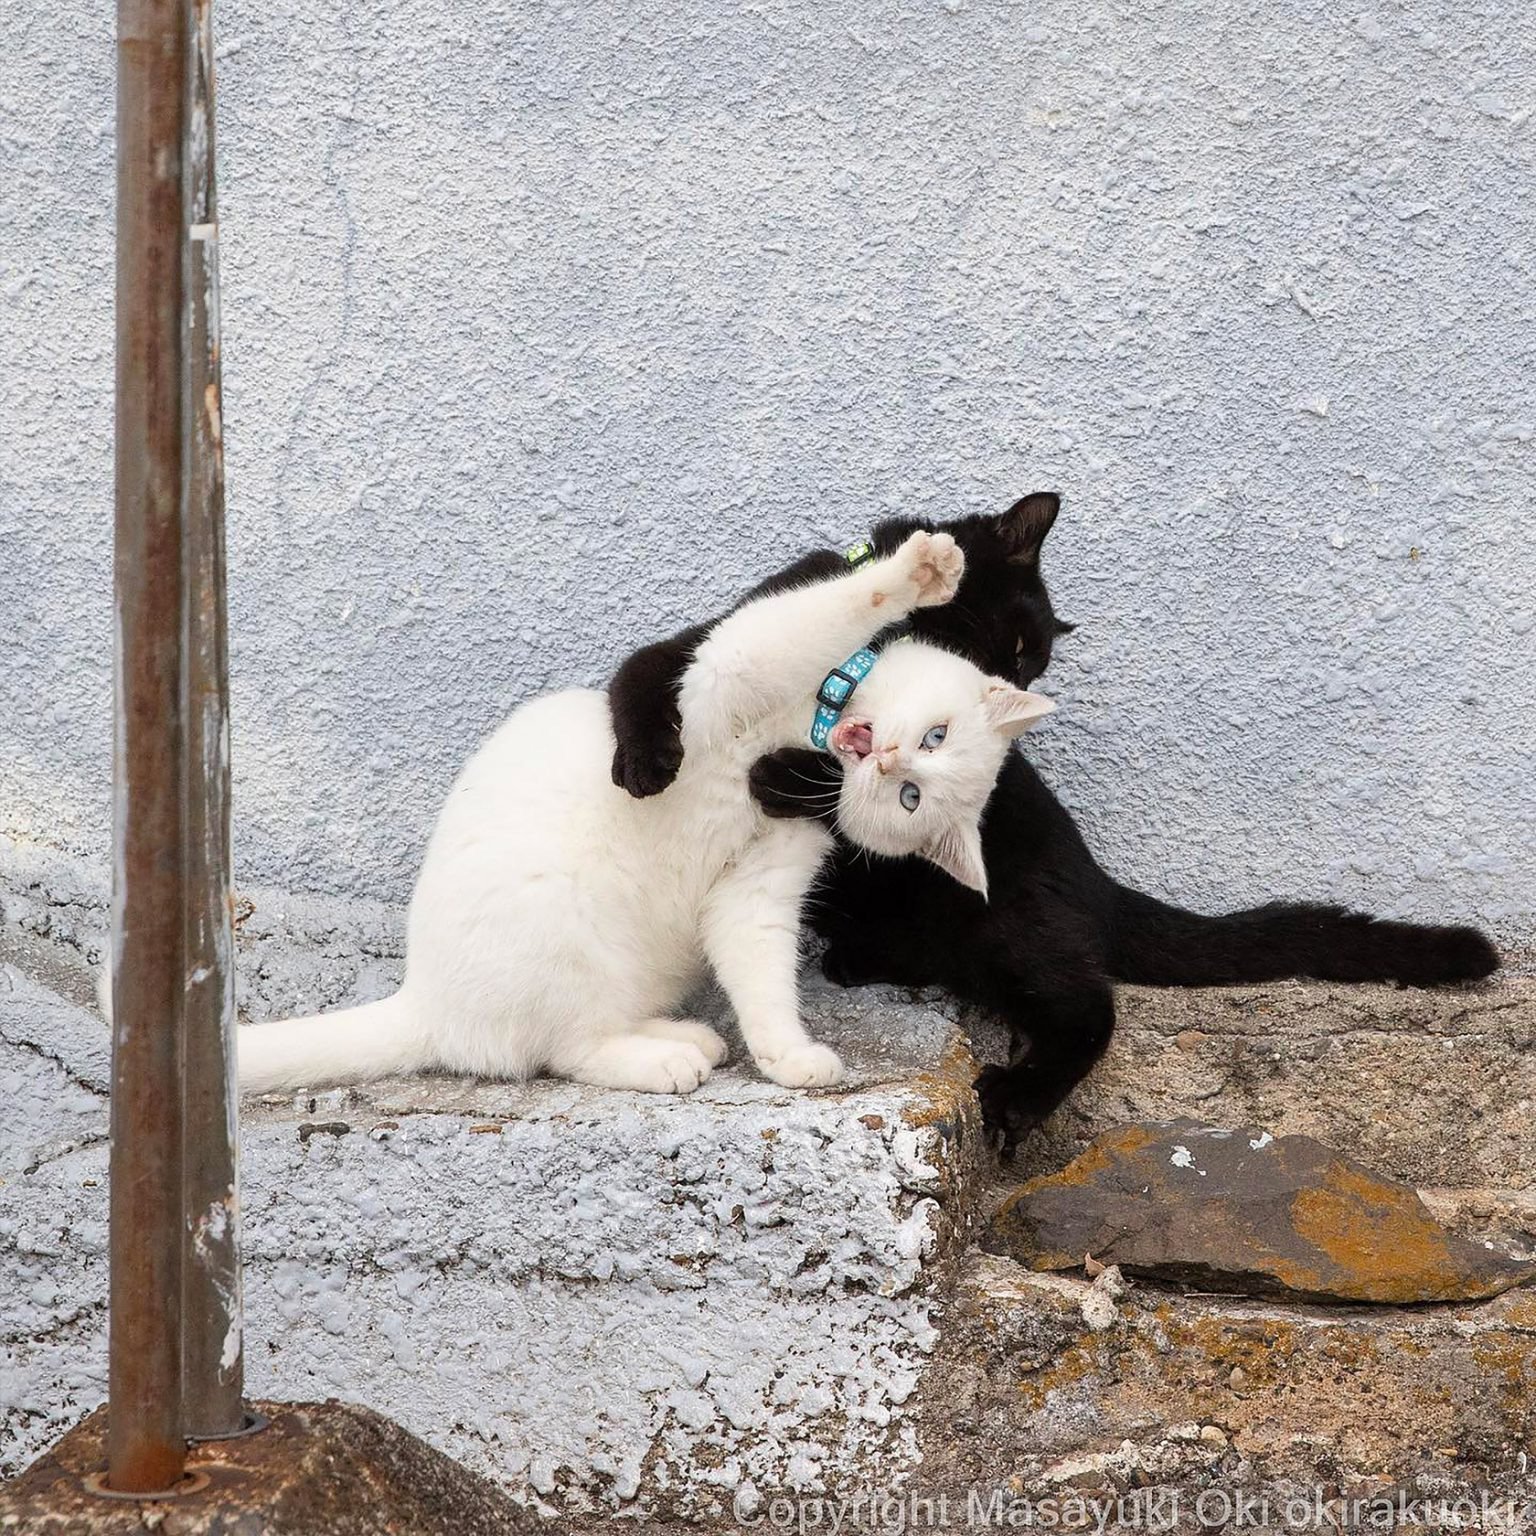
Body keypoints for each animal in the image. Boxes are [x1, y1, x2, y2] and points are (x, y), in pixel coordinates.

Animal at [236, 534, 1056, 1099]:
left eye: (911, 798)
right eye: (934, 738)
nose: (887, 761)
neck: (803, 732)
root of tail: (425, 1002)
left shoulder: (756, 885)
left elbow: (763, 977)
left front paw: (788, 1057)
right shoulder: (730, 667)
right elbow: (826, 611)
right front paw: (918, 569)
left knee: (570, 1042)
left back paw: (674, 1041)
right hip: (559, 930)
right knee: (556, 1049)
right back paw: (665, 1056)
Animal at [605, 497, 1492, 1148]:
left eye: (1026, 662)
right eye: (1003, 645)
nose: (1001, 697)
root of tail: (1099, 884)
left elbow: (835, 787)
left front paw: (784, 772)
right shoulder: (715, 638)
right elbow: (642, 668)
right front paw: (645, 761)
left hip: (1006, 926)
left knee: (1087, 1007)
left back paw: (1014, 1097)